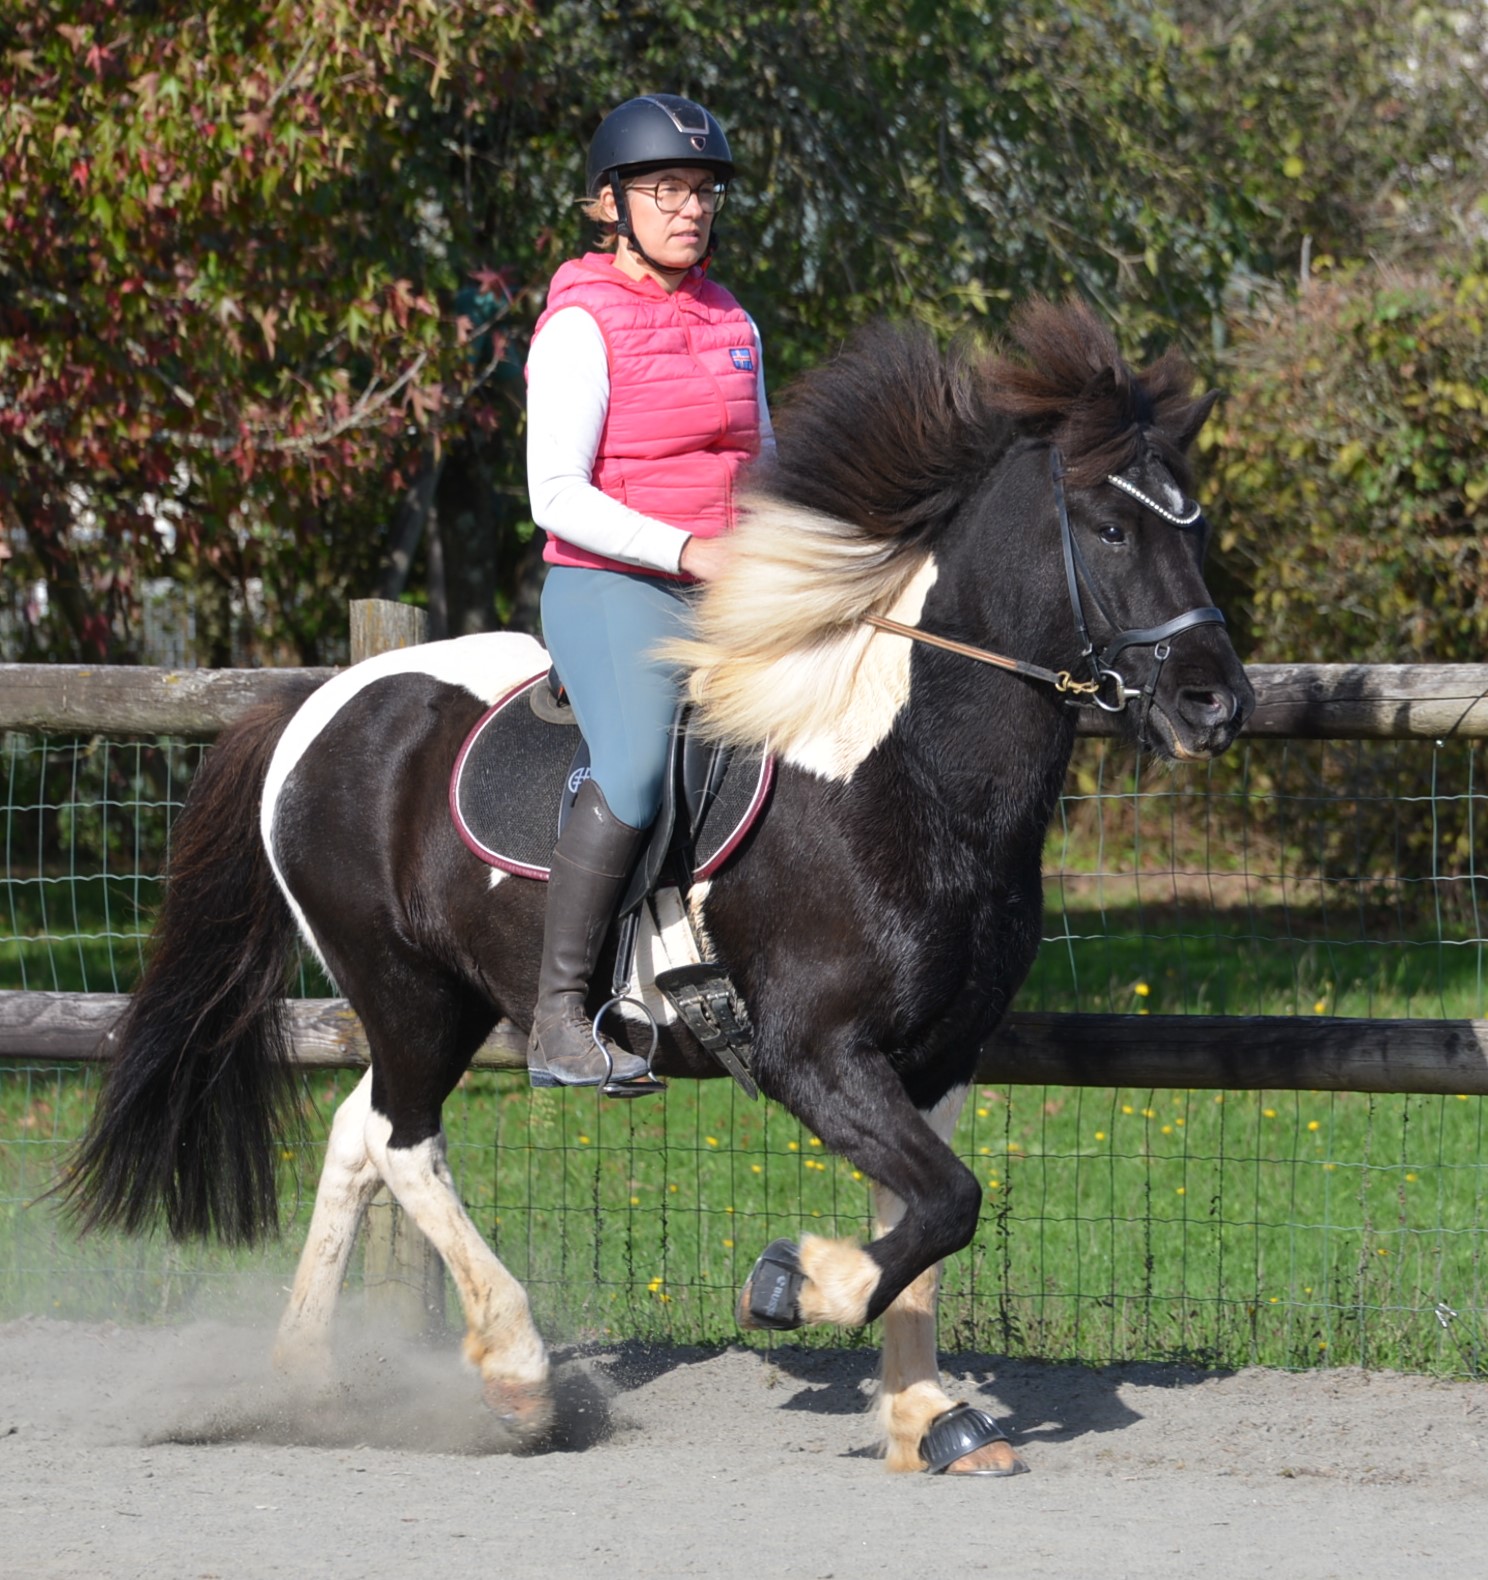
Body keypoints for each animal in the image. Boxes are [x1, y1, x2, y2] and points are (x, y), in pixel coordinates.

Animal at [67, 298, 1257, 1478]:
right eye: (1111, 528)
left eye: (1194, 530)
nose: (1216, 704)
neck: (903, 772)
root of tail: (321, 700)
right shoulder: (812, 1053)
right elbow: (945, 1203)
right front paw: (794, 1282)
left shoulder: (937, 1058)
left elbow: (929, 1221)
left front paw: (929, 1414)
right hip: (407, 989)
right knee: (405, 1141)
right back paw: (517, 1376)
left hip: (441, 1000)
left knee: (358, 1135)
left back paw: (309, 1381)